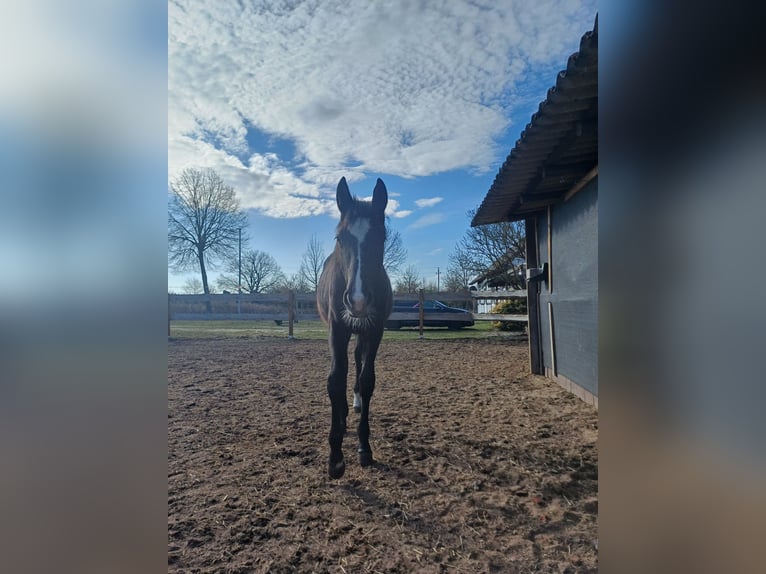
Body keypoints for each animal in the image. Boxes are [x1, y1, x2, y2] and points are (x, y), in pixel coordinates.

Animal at [317, 177, 393, 479]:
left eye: (381, 238)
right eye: (341, 238)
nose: (358, 300)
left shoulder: (374, 331)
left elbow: (367, 379)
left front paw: (364, 447)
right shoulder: (337, 330)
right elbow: (335, 380)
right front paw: (335, 457)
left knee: (359, 363)